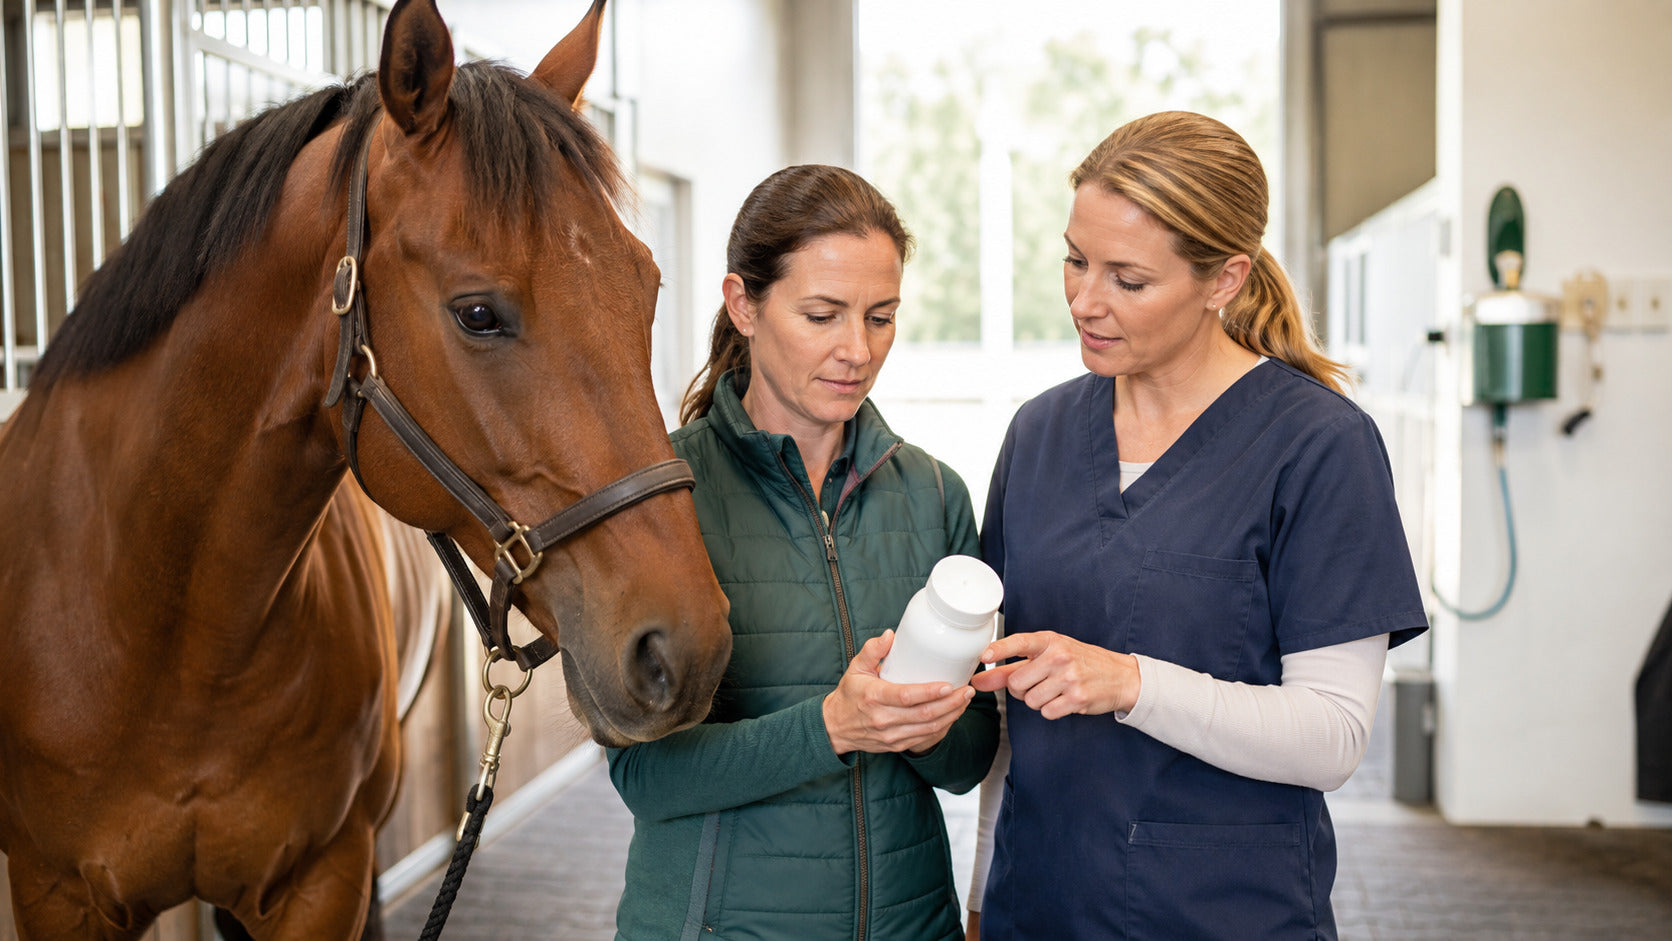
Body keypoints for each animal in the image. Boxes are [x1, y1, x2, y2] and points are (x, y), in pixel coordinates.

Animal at [0, 0, 731, 936]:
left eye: (647, 289)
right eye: (478, 313)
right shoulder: (56, 891)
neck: (165, 630)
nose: (688, 648)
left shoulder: (324, 878)